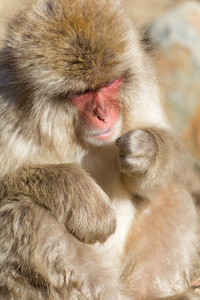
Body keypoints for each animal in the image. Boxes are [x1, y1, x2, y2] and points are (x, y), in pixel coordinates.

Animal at [0, 0, 198, 298]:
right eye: (82, 92)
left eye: (108, 84)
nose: (103, 115)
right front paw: (79, 194)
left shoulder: (144, 88)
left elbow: (169, 164)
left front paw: (147, 152)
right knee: (24, 213)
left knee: (170, 189)